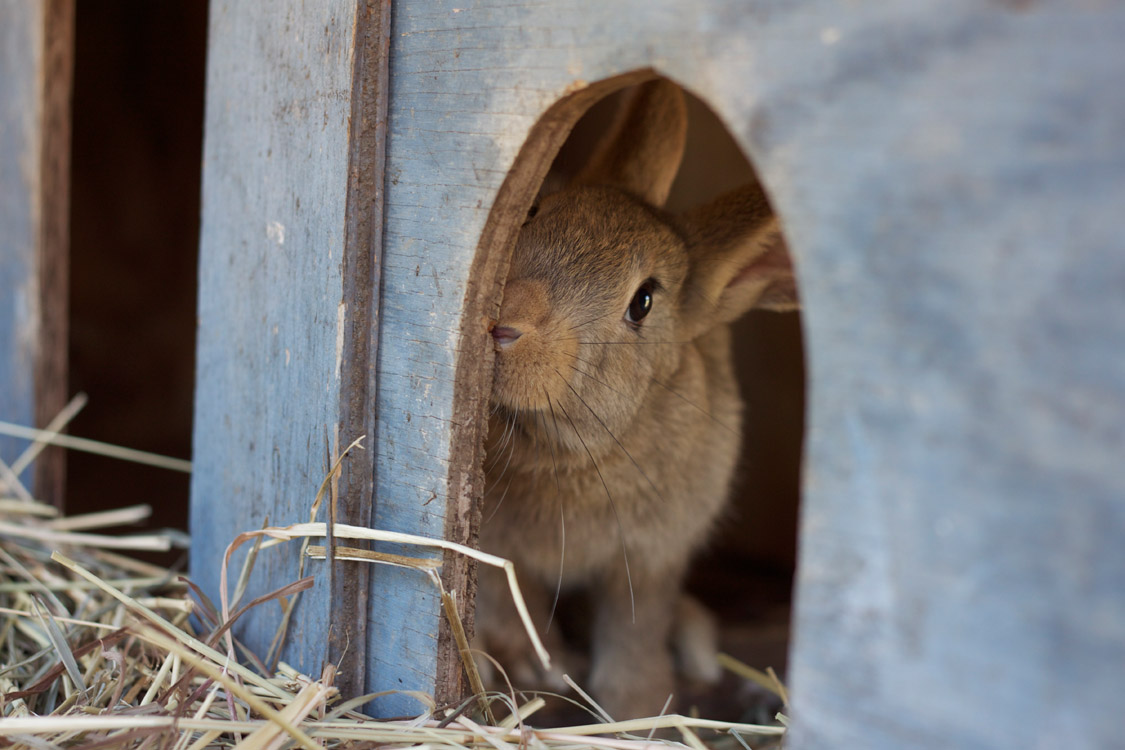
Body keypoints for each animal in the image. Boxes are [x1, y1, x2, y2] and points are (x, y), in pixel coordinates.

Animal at [477, 80, 801, 719]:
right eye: (532, 211)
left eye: (643, 302)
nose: (508, 323)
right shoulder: (498, 554)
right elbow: (507, 601)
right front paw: (538, 666)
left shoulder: (652, 556)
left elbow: (634, 628)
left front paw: (637, 707)